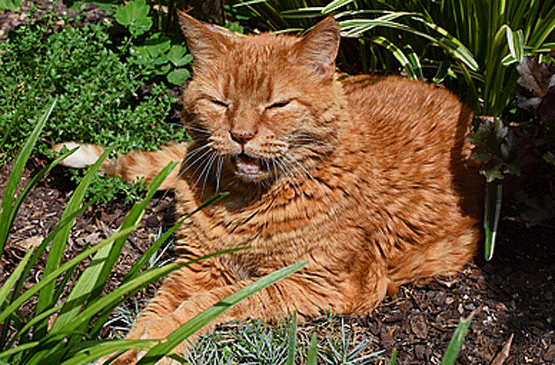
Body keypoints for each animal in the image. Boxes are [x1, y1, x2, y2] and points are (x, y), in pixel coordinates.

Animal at [55, 11, 482, 364]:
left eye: (276, 105)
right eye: (220, 102)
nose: (241, 135)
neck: (244, 201)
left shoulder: (317, 284)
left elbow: (201, 308)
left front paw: (155, 344)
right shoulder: (197, 265)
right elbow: (157, 310)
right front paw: (128, 347)